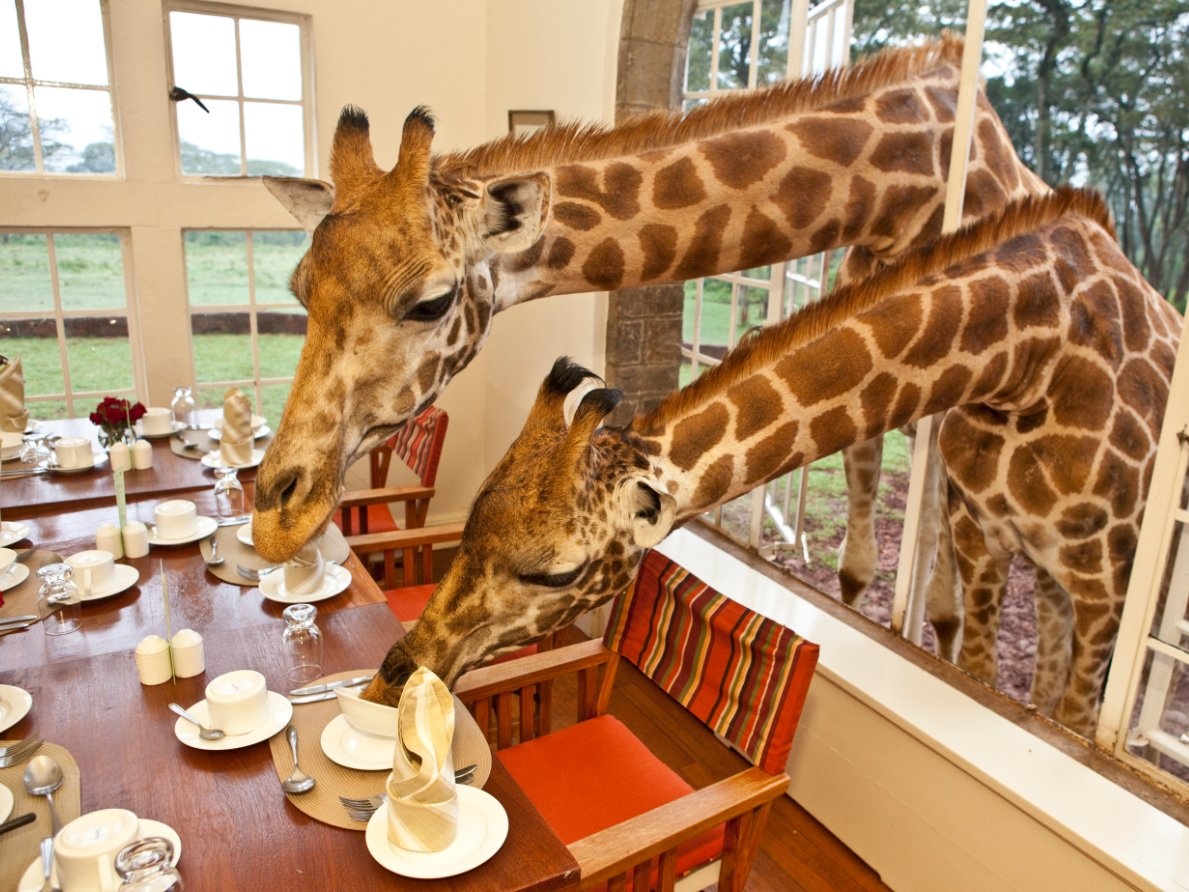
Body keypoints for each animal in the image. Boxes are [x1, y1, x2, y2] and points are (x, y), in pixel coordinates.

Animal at [361, 188, 1181, 738]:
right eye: (468, 524)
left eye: (558, 572)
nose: (387, 679)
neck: (1025, 351)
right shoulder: (986, 547)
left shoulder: (1107, 585)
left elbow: (1071, 711)